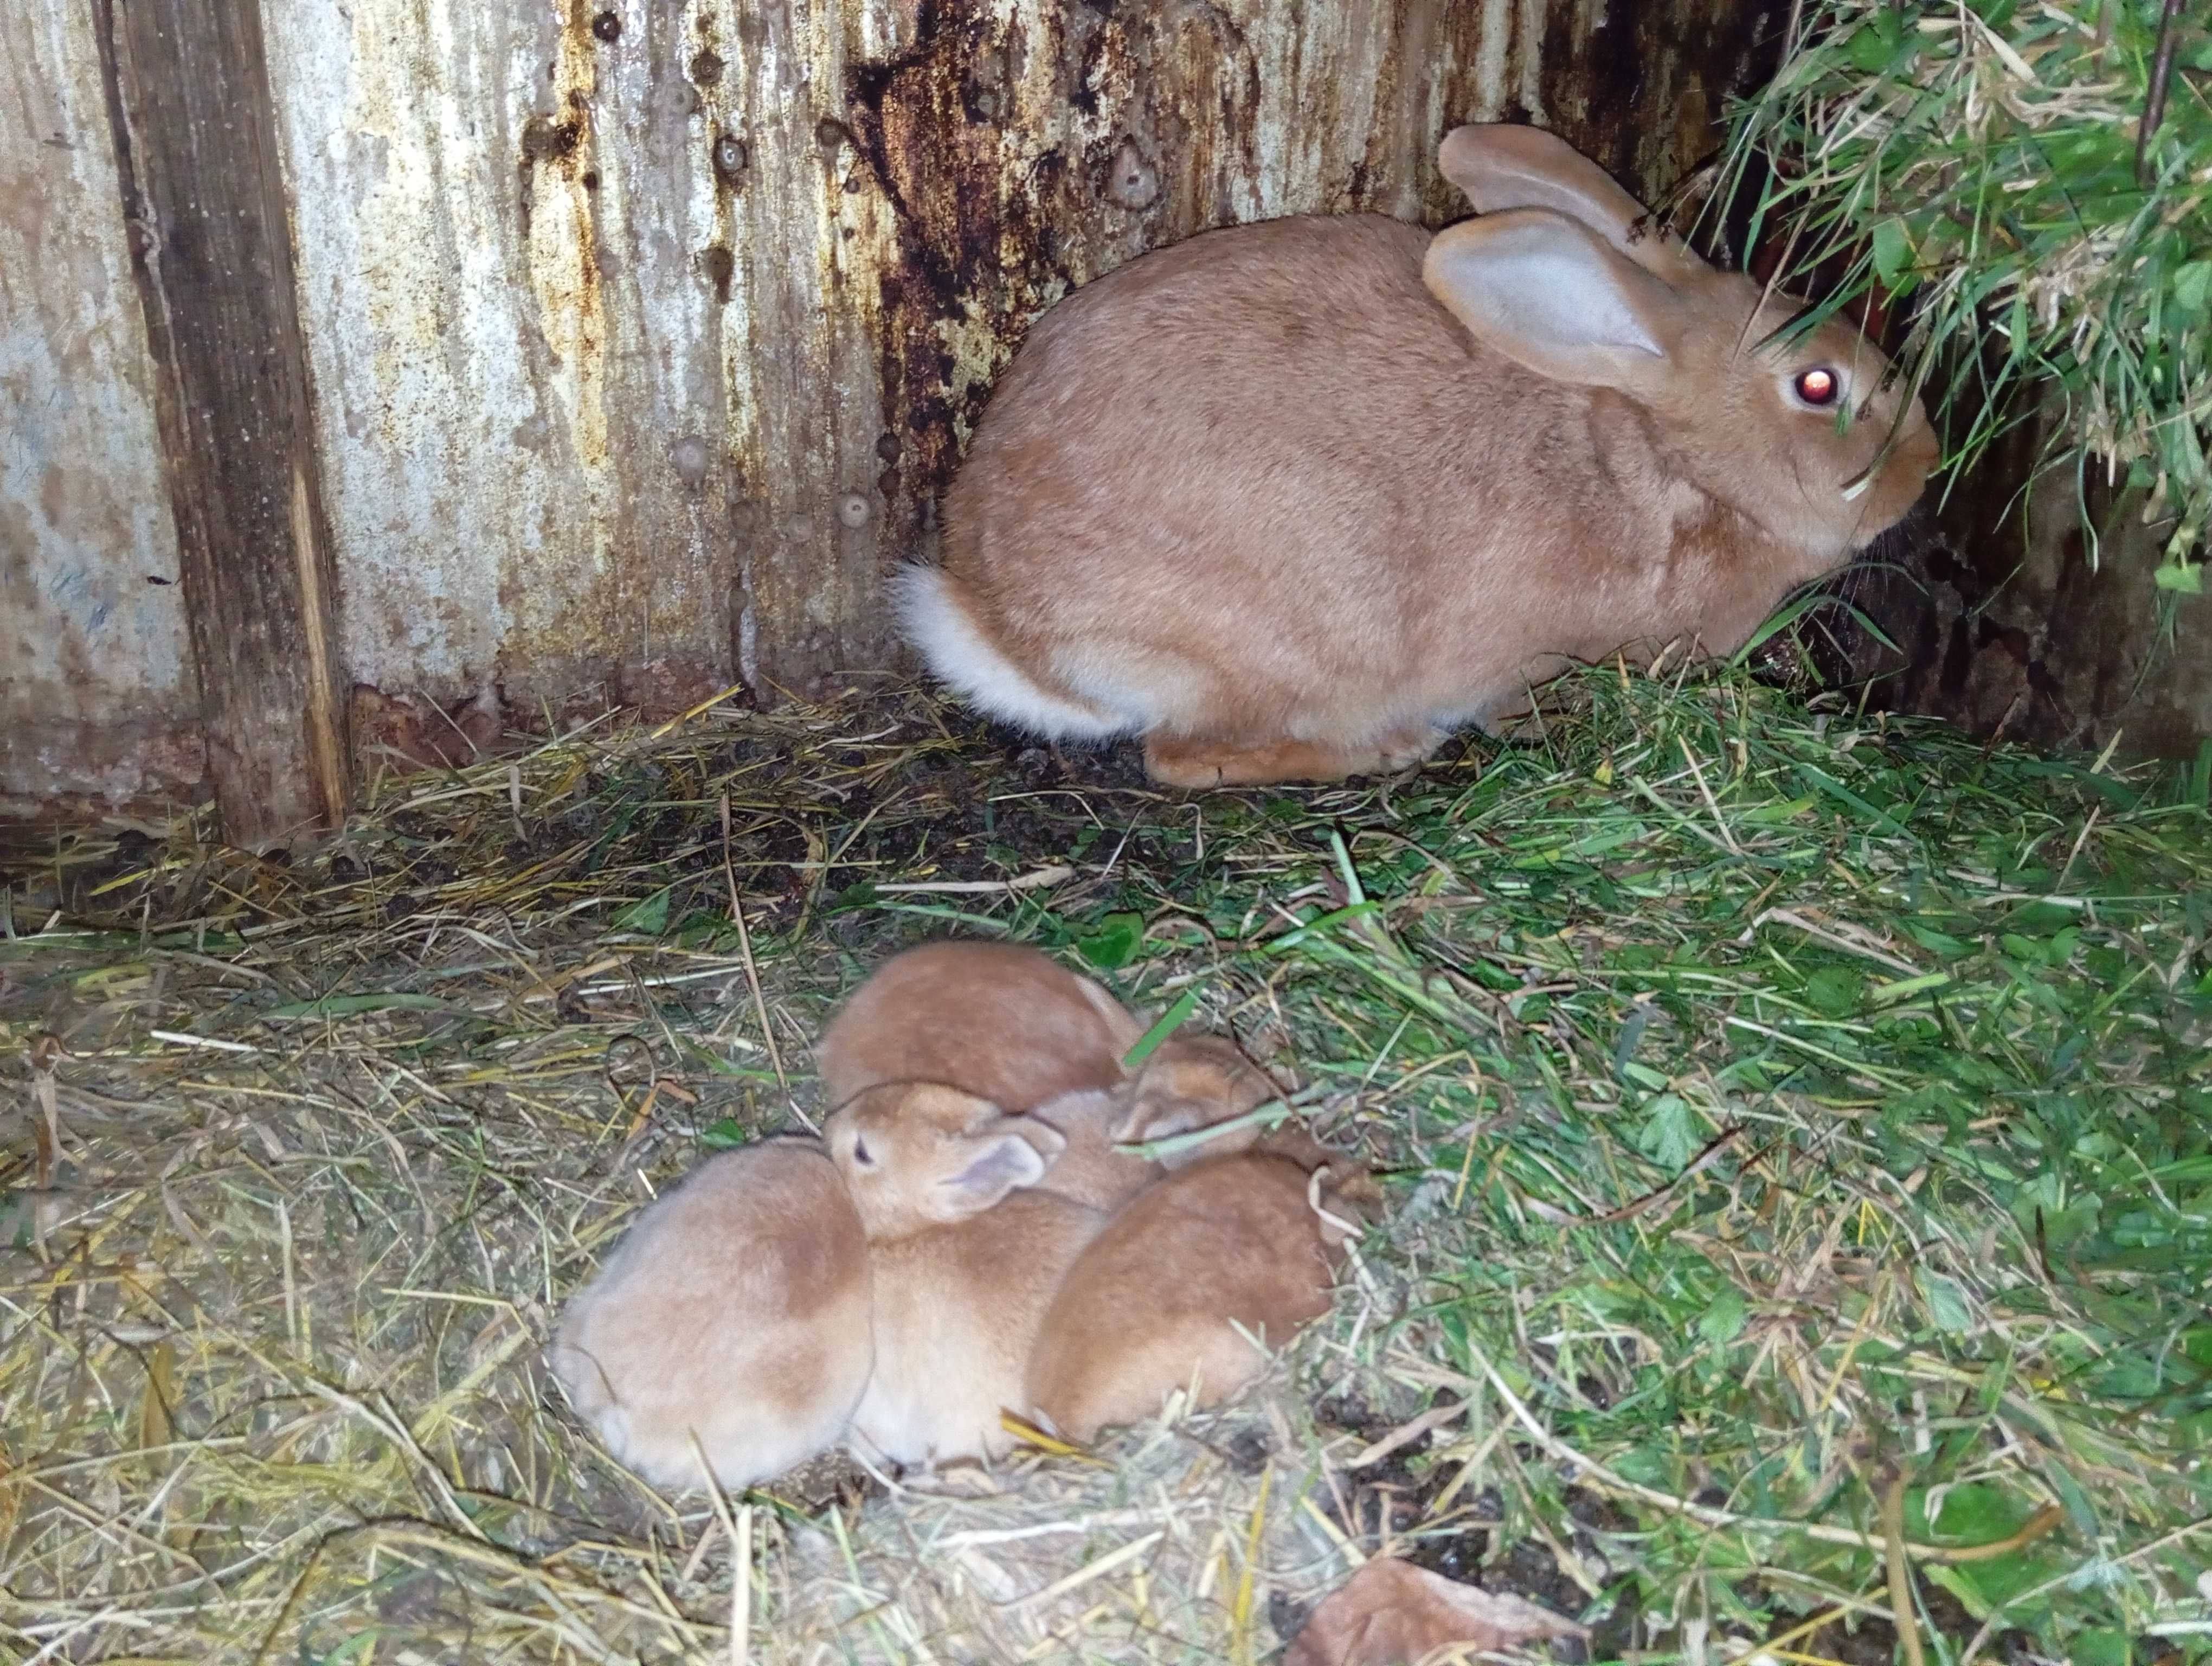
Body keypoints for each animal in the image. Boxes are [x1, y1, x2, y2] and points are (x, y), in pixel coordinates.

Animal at [898, 123, 1938, 787]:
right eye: (1818, 387)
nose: (1925, 462)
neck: (1671, 460)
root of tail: (998, 624)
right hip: (1293, 646)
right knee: (1185, 757)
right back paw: (1389, 750)